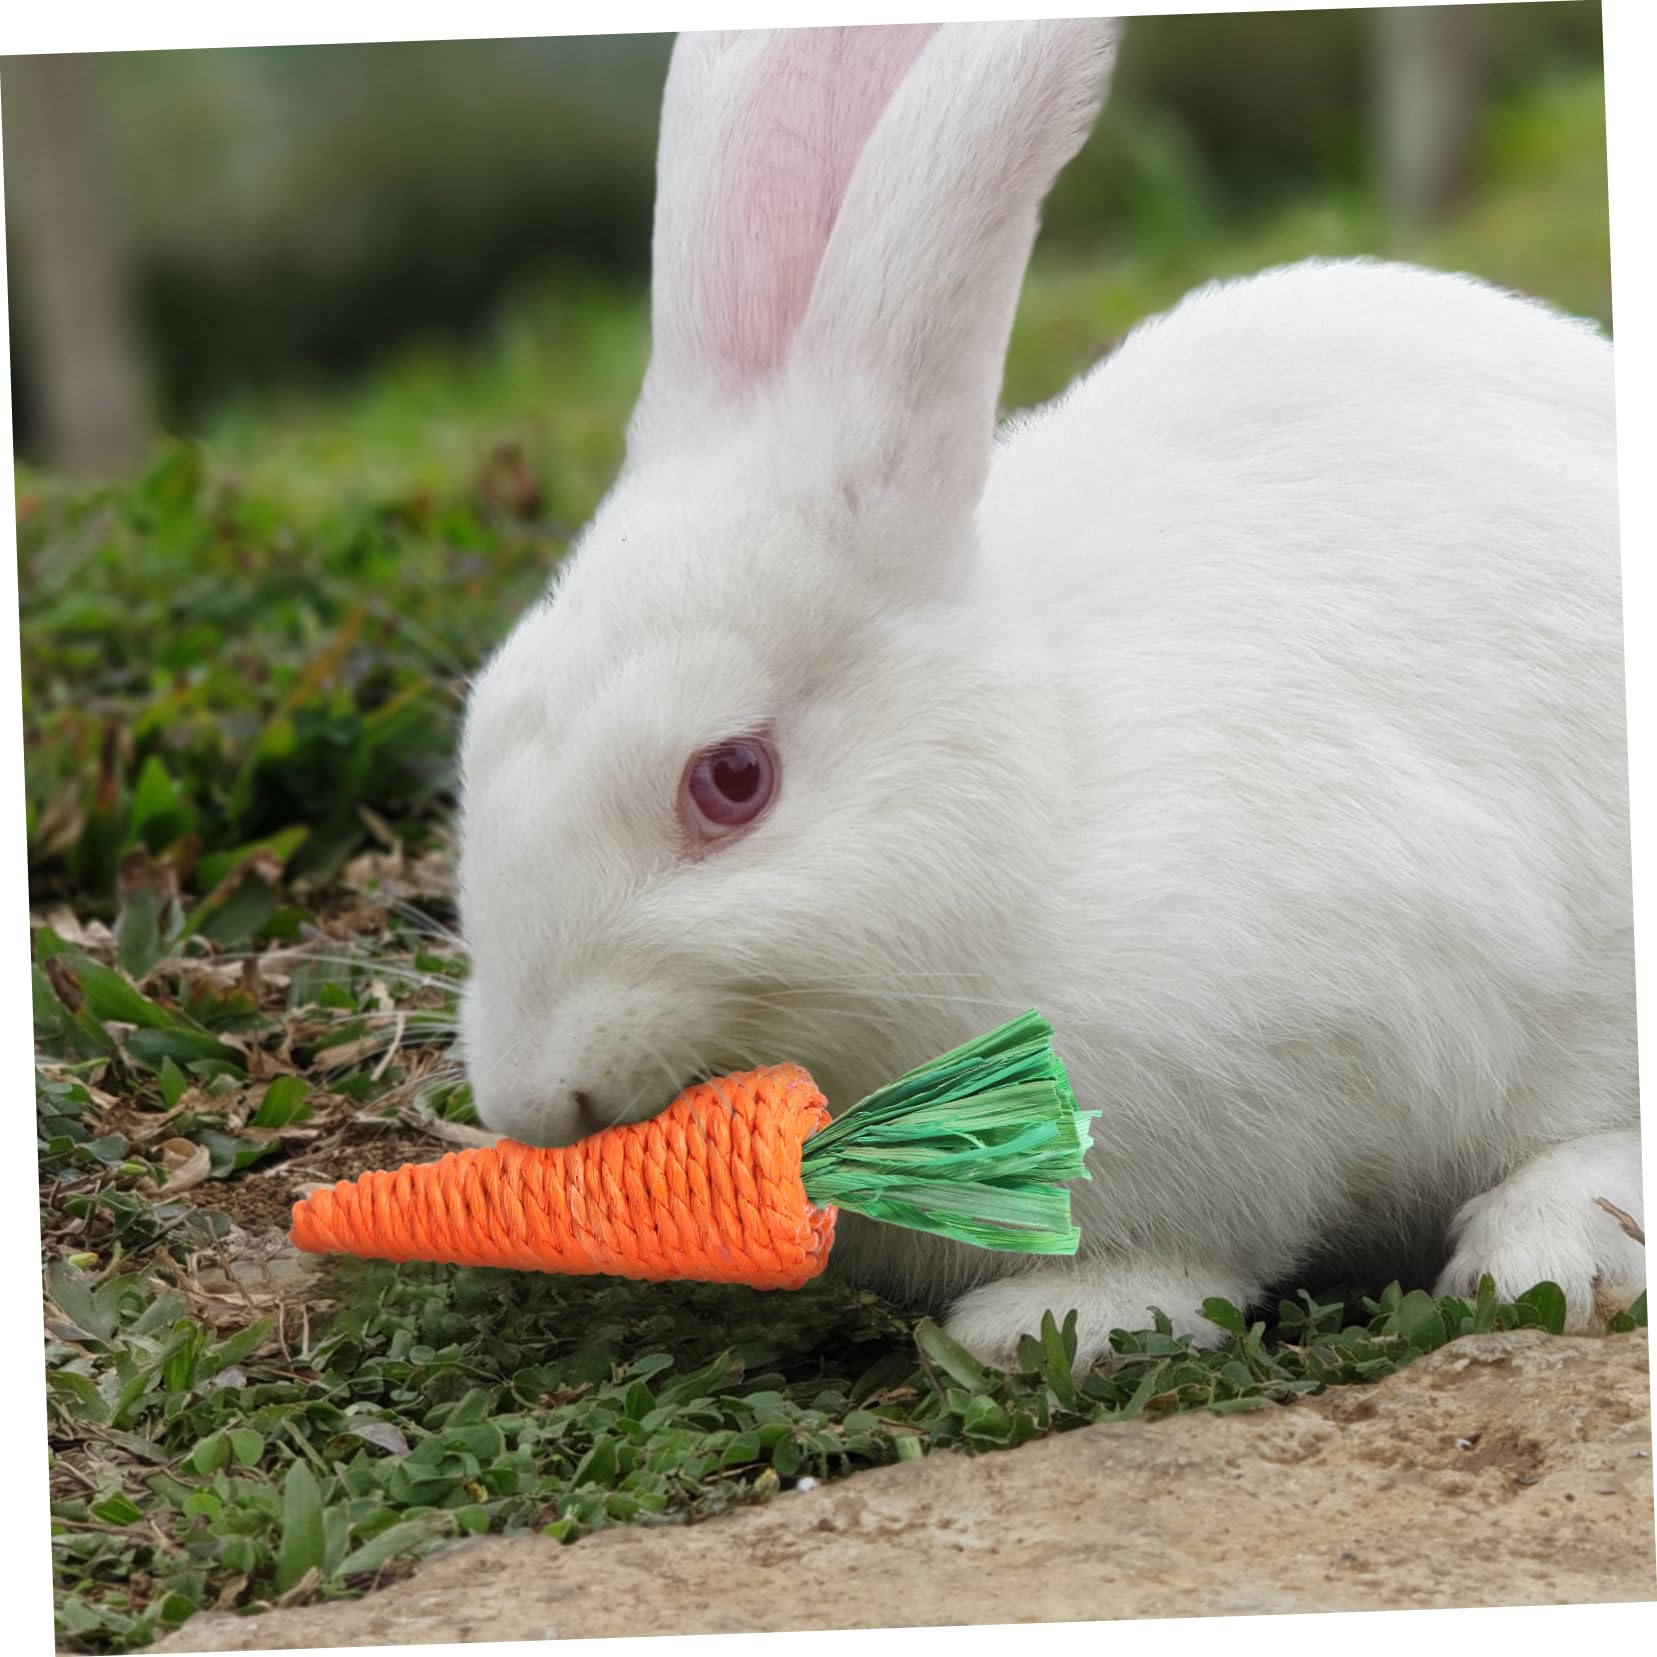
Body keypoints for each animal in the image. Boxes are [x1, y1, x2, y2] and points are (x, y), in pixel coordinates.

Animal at [453, 19, 1641, 1370]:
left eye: (731, 780)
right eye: (479, 728)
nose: (530, 1097)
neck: (1044, 808)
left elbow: (1201, 1245)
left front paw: (1045, 1326)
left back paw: (1547, 1250)